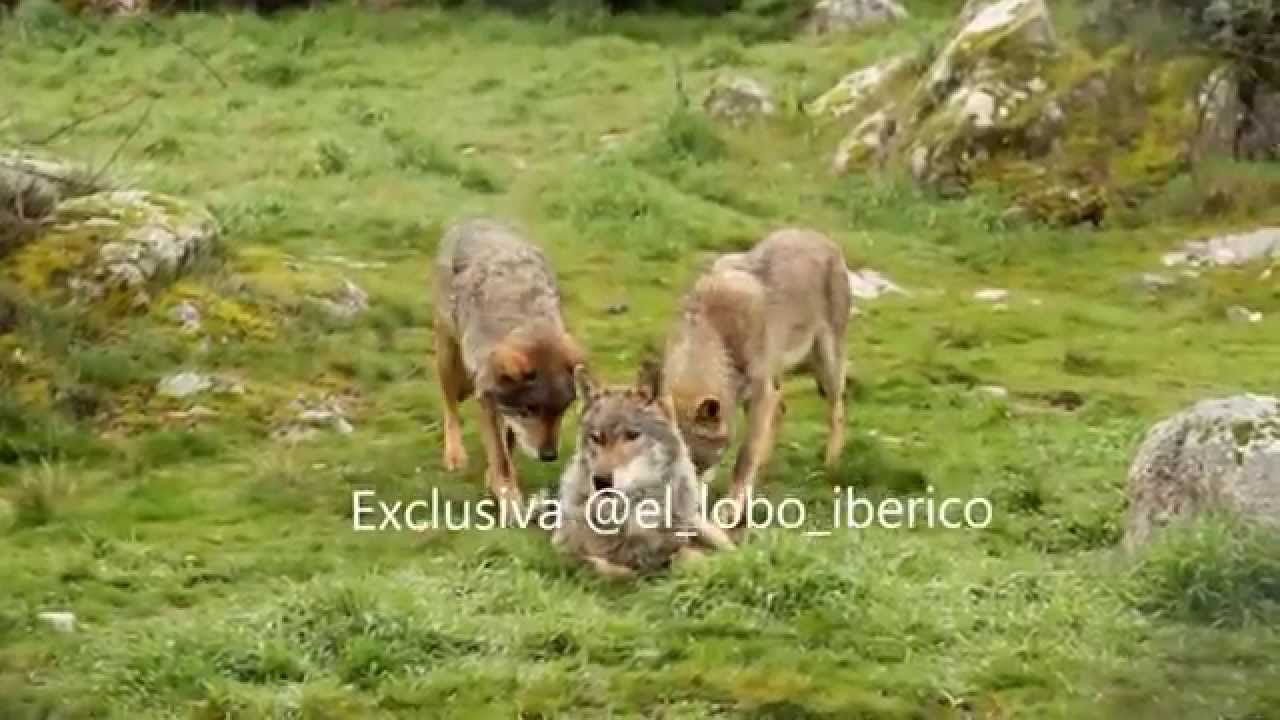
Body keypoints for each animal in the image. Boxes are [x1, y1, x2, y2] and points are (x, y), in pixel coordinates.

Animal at [432, 219, 585, 503]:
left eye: (562, 410)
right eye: (531, 410)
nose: (549, 456)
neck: (523, 321)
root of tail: (474, 219)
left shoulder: (503, 407)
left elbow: (508, 445)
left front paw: (495, 480)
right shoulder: (488, 401)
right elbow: (500, 455)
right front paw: (507, 492)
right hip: (446, 355)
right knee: (450, 406)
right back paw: (454, 454)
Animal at [553, 367, 735, 578]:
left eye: (632, 435)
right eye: (596, 438)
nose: (600, 480)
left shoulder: (677, 544)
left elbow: (686, 556)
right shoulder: (562, 550)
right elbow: (609, 568)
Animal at [659, 228, 853, 516]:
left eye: (694, 461)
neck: (716, 331)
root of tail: (820, 236)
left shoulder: (760, 395)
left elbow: (744, 457)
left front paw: (728, 512)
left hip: (825, 366)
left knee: (836, 411)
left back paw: (830, 464)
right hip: (779, 378)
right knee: (781, 410)